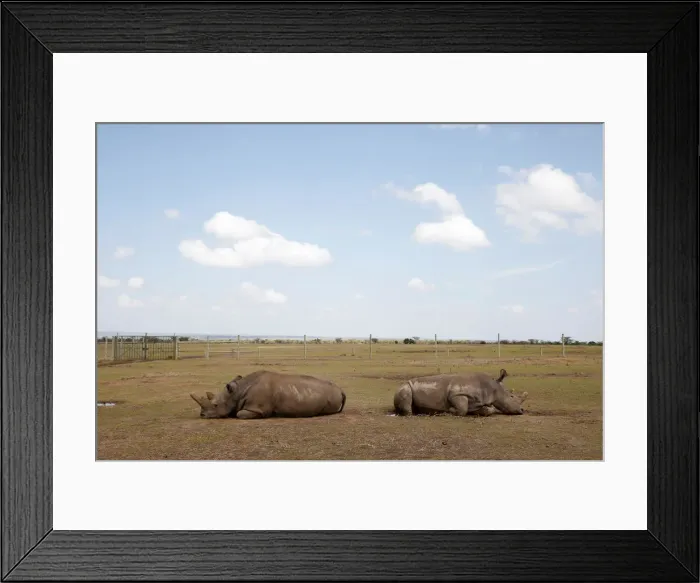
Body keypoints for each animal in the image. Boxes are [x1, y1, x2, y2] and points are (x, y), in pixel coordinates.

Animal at [189, 370, 347, 419]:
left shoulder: (258, 409)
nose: (202, 415)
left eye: (215, 405)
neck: (237, 392)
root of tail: (341, 389)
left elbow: (240, 414)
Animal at [393, 368, 528, 416]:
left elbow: (487, 410)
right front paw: (450, 411)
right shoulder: (456, 394)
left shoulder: (478, 401)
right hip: (404, 386)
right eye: (511, 396)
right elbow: (462, 409)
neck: (491, 387)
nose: (522, 410)